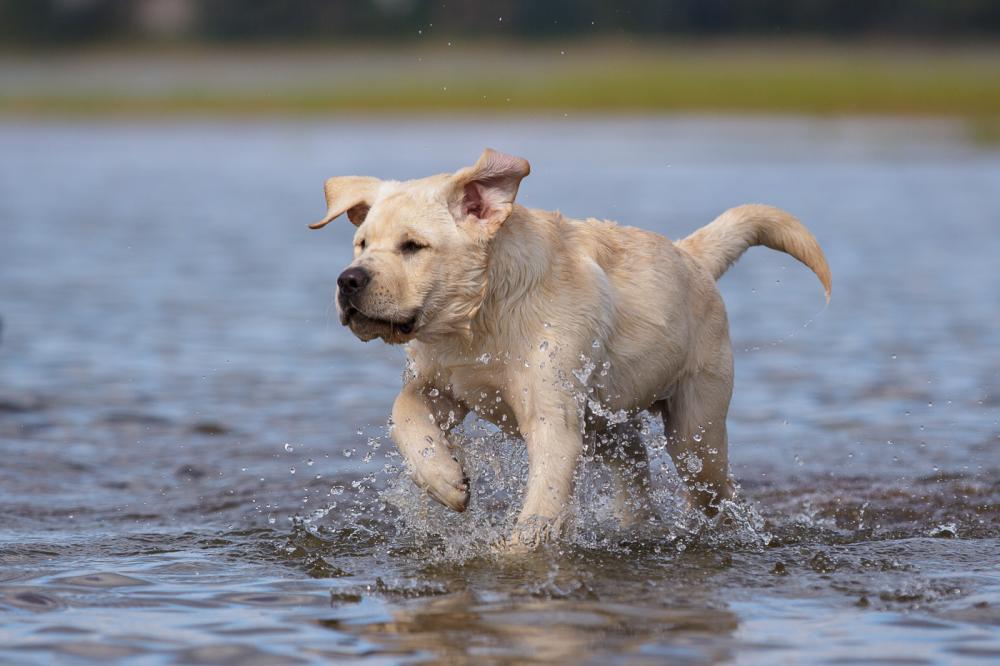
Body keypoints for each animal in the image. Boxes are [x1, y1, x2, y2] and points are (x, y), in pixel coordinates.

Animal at [310, 148, 828, 548]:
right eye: (361, 243)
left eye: (413, 246)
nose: (347, 280)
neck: (480, 321)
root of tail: (690, 253)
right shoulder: (440, 383)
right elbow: (403, 414)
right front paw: (445, 479)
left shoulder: (550, 415)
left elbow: (544, 499)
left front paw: (516, 552)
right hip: (609, 424)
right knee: (635, 477)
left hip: (695, 433)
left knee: (715, 490)